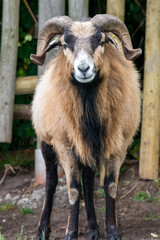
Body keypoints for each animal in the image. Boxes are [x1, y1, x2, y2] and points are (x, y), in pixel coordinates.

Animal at [30, 15, 142, 240]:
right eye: (65, 44)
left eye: (101, 41)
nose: (83, 69)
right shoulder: (64, 145)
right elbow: (73, 190)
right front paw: (70, 233)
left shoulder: (118, 146)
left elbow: (110, 186)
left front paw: (112, 231)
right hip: (47, 143)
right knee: (51, 183)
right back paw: (42, 230)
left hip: (88, 150)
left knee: (89, 181)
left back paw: (92, 229)